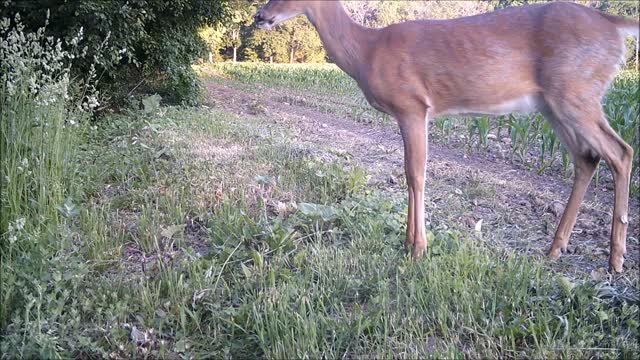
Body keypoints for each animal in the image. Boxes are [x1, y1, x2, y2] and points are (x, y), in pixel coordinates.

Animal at [252, 0, 636, 272]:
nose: (259, 15)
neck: (367, 50)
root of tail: (613, 25)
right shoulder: (407, 113)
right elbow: (409, 174)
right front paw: (409, 241)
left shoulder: (412, 105)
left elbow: (416, 174)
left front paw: (418, 248)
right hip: (552, 104)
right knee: (587, 158)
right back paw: (556, 248)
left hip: (576, 91)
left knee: (621, 151)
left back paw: (615, 259)